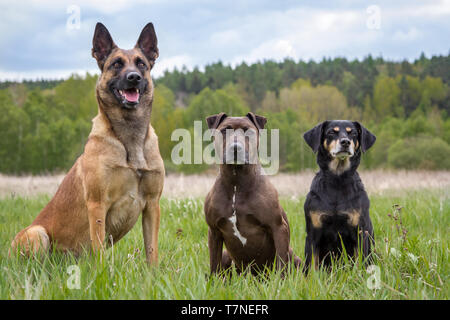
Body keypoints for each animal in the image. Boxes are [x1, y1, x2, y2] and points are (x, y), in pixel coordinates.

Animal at [10, 22, 165, 266]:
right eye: (116, 64)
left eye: (141, 64)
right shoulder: (97, 204)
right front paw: (103, 272)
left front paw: (153, 274)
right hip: (37, 233)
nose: (134, 78)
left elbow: (152, 251)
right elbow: (99, 249)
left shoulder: (152, 205)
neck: (129, 137)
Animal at [204, 112, 302, 276]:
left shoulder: (278, 227)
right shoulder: (214, 231)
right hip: (227, 255)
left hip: (294, 257)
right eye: (224, 130)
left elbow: (281, 263)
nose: (235, 148)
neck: (236, 183)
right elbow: (214, 265)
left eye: (248, 131)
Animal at [302, 120, 376, 270]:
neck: (337, 181)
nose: (345, 142)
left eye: (353, 133)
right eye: (331, 132)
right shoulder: (313, 234)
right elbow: (312, 266)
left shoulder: (361, 232)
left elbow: (361, 261)